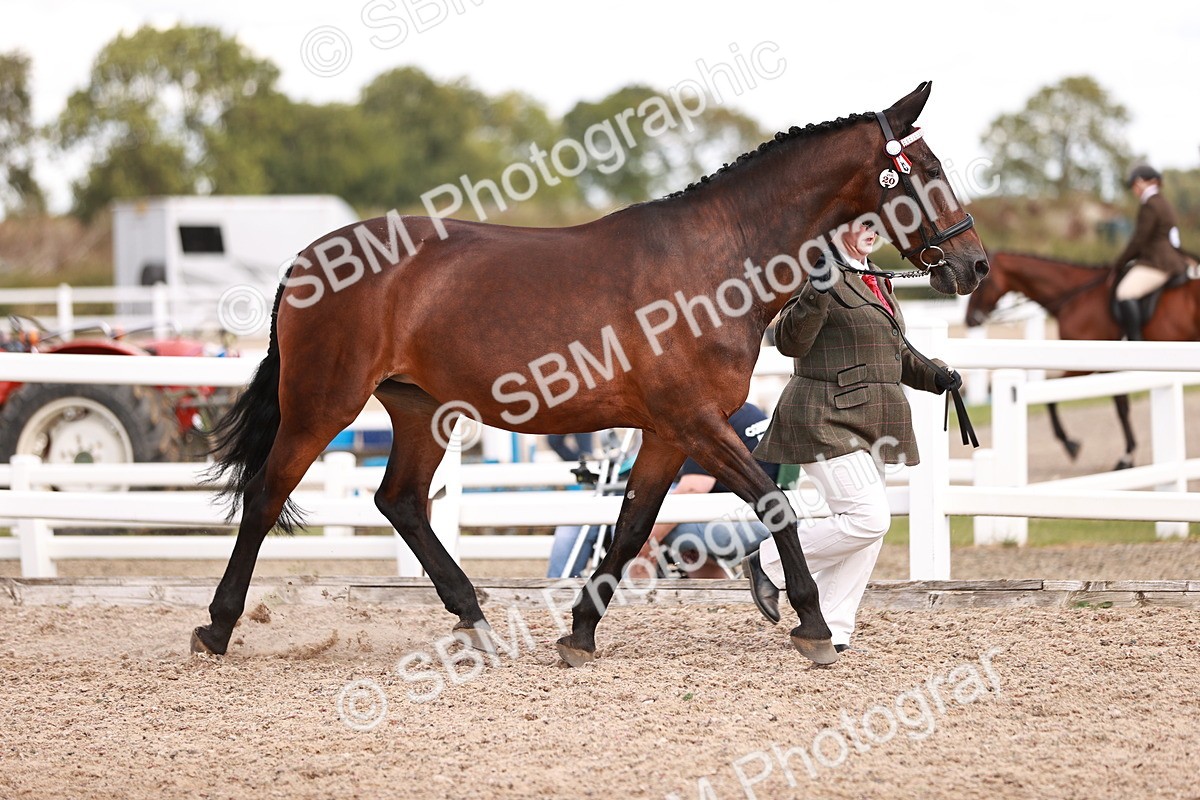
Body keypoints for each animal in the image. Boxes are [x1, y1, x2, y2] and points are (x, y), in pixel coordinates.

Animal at [194, 81, 987, 668]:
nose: (974, 265)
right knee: (266, 494)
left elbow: (631, 529)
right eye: (927, 172)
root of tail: (309, 257)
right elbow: (774, 505)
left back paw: (475, 621)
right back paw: (217, 628)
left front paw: (578, 632)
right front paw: (814, 626)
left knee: (403, 502)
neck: (713, 262)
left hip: (421, 409)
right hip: (322, 403)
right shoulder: (697, 424)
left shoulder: (667, 433)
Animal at [964, 250, 1200, 468]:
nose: (969, 319)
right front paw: (1127, 455)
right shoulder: (1106, 369)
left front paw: (1073, 445)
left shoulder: (1084, 366)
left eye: (984, 280)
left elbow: (1053, 396)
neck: (1075, 296)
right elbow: (1121, 406)